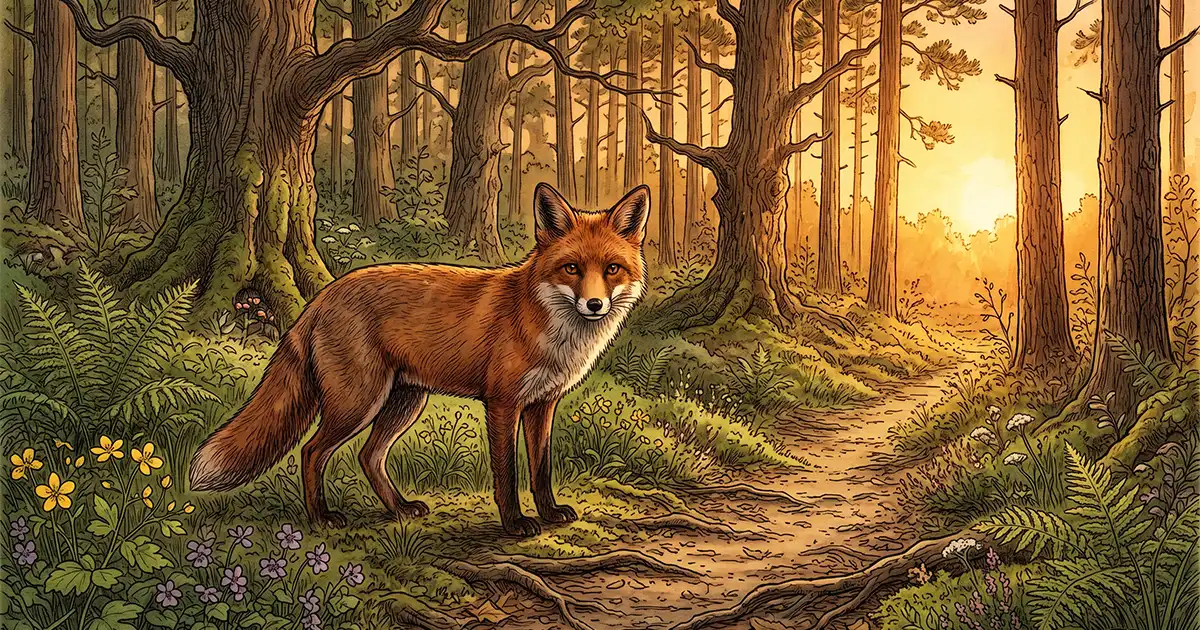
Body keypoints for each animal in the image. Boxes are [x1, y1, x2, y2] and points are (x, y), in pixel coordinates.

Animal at [189, 183, 651, 536]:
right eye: (572, 268)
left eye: (612, 269)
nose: (594, 305)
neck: (549, 327)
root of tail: (321, 297)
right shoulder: (502, 403)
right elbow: (507, 473)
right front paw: (515, 524)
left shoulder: (543, 403)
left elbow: (541, 469)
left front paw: (550, 513)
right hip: (358, 402)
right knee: (311, 452)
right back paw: (321, 518)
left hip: (404, 402)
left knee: (368, 456)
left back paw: (398, 509)